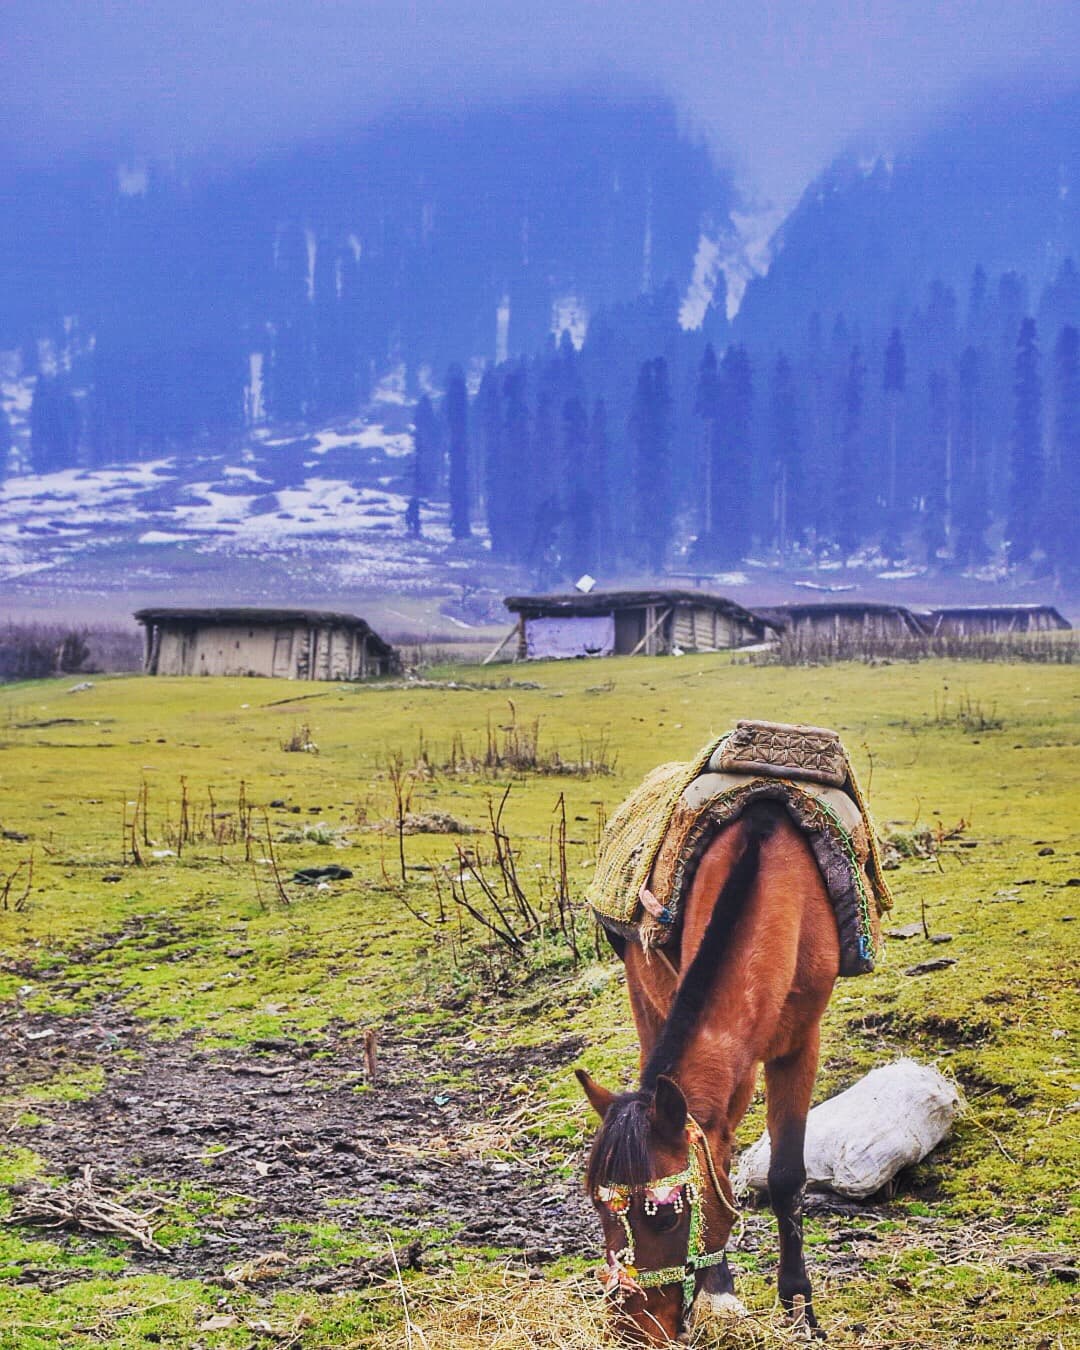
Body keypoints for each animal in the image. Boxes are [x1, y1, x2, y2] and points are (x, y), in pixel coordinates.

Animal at [577, 798, 841, 1344]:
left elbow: (786, 1177)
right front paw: (719, 1294)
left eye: (662, 1214)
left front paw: (800, 1311)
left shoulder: (799, 1045)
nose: (630, 1332)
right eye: (597, 1204)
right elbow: (715, 1159)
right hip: (643, 993)